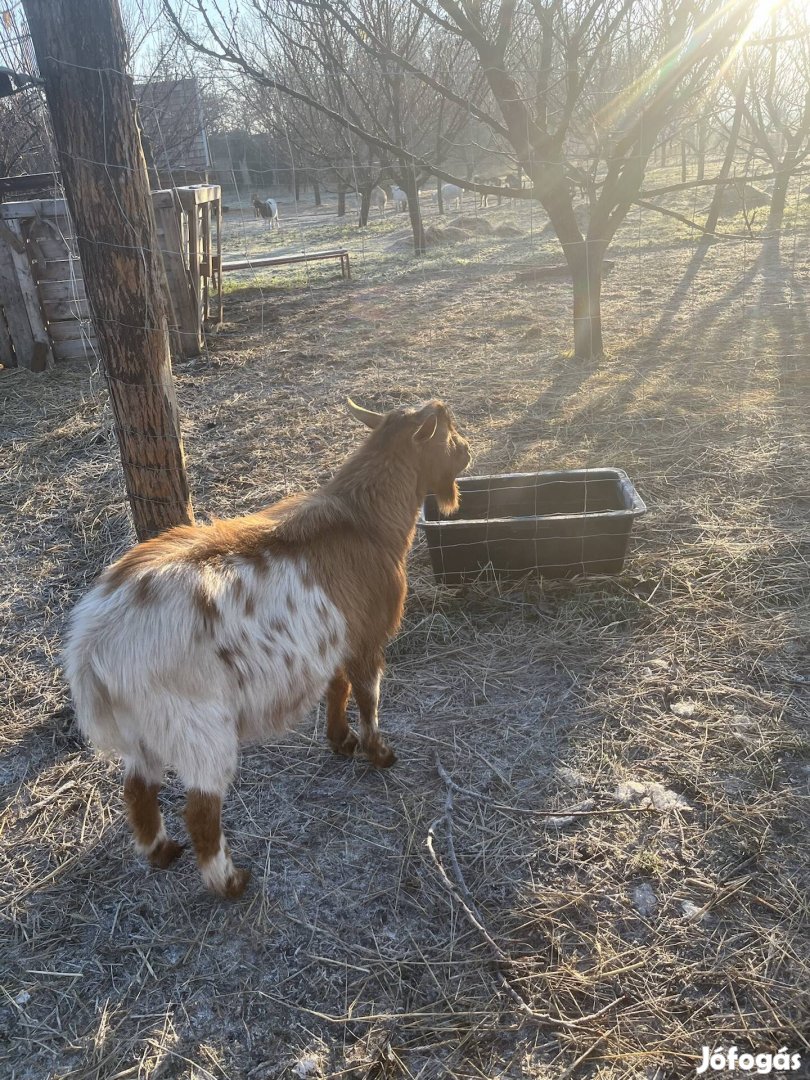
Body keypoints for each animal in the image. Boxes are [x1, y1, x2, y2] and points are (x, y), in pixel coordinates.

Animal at [66, 401, 473, 898]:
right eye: (449, 435)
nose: (468, 451)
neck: (366, 521)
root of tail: (91, 640)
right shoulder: (366, 638)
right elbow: (368, 698)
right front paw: (379, 754)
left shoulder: (333, 641)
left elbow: (337, 688)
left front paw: (341, 741)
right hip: (196, 724)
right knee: (200, 810)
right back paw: (229, 882)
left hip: (143, 725)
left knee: (138, 790)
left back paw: (162, 853)